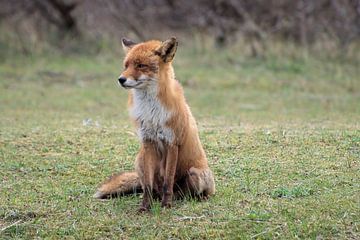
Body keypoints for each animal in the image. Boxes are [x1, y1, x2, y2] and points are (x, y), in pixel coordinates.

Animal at [94, 36, 215, 211]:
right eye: (126, 66)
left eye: (141, 65)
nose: (121, 79)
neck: (152, 113)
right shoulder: (148, 142)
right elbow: (148, 186)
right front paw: (145, 207)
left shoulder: (172, 143)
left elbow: (168, 182)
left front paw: (166, 205)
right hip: (139, 160)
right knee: (151, 186)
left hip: (195, 174)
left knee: (189, 193)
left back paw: (194, 198)